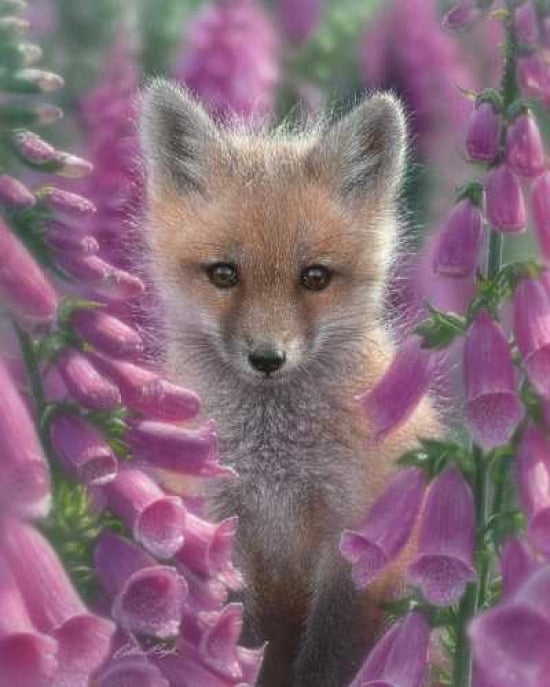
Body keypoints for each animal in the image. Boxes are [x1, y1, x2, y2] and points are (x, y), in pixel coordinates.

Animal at [139, 80, 437, 687]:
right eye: (224, 274)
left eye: (315, 277)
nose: (267, 358)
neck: (275, 466)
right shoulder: (222, 525)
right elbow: (239, 633)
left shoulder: (350, 535)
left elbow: (328, 650)